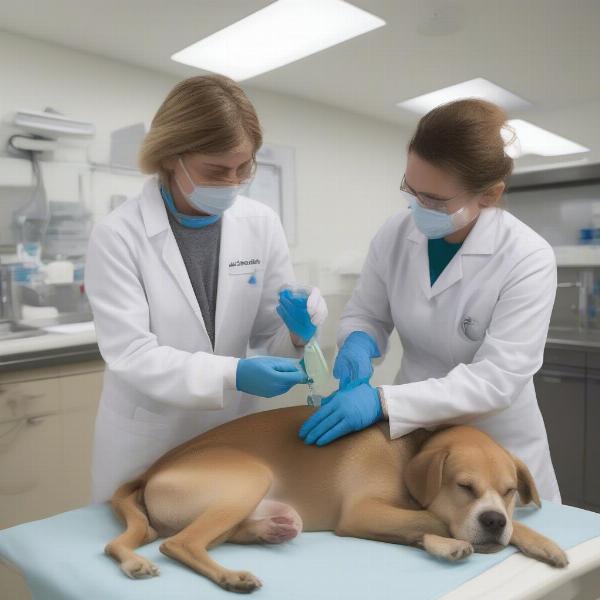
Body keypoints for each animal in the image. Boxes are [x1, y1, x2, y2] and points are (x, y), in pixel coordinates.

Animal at [105, 406, 568, 592]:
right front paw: (453, 540)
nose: (493, 521)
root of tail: (151, 472)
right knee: (179, 544)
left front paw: (540, 541)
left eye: (509, 491)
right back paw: (232, 577)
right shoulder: (363, 513)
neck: (410, 451)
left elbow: (422, 525)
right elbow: (432, 519)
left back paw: (270, 530)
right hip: (248, 478)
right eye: (464, 486)